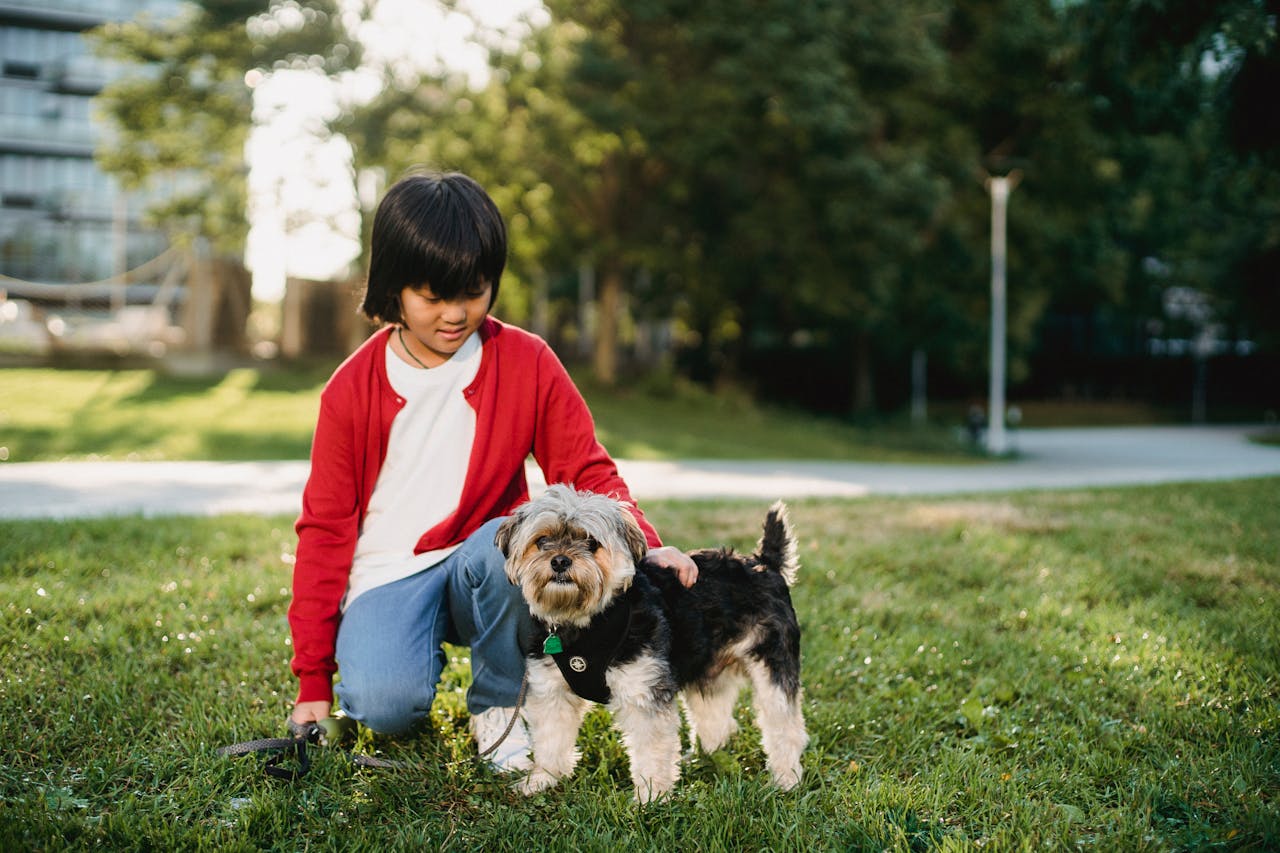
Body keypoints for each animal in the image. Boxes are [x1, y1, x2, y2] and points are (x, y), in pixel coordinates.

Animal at [491, 484, 803, 799]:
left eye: (591, 543)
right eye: (542, 541)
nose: (559, 561)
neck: (584, 623)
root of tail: (765, 563)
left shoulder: (644, 692)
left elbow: (652, 750)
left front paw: (651, 796)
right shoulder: (552, 692)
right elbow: (550, 739)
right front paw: (542, 780)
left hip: (773, 665)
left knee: (785, 726)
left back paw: (786, 779)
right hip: (707, 669)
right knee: (716, 717)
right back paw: (704, 758)